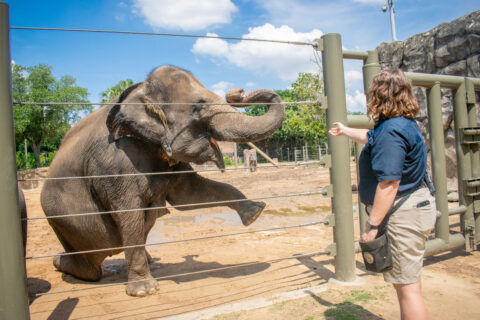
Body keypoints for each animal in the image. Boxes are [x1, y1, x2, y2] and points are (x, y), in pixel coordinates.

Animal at [41, 65, 284, 298]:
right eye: (199, 107)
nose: (237, 92)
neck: (141, 93)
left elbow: (190, 195)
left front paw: (255, 212)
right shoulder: (114, 161)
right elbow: (130, 211)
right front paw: (144, 291)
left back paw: (150, 260)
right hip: (70, 229)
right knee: (91, 268)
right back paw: (58, 261)